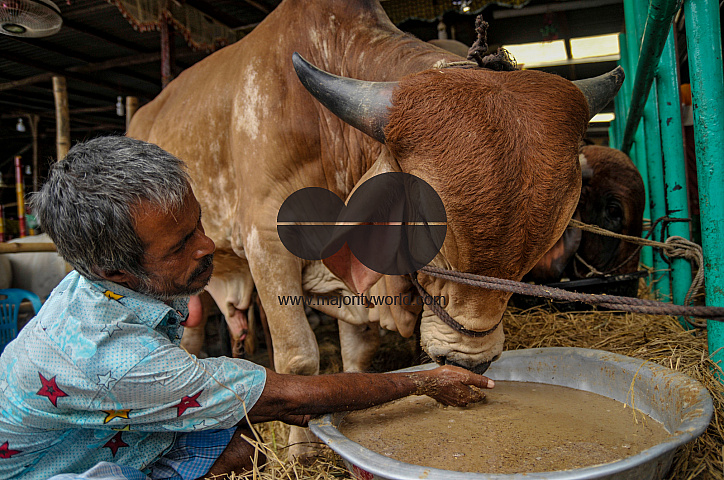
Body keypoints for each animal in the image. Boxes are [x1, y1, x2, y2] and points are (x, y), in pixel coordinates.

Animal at [127, 0, 622, 456]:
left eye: (542, 243)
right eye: (429, 227)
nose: (471, 363)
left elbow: (358, 357)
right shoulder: (267, 244)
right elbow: (299, 359)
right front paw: (302, 453)